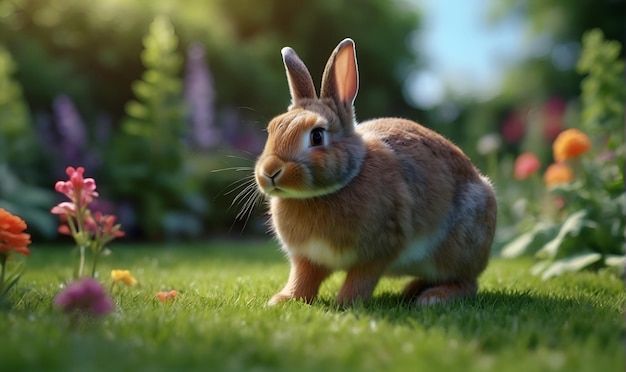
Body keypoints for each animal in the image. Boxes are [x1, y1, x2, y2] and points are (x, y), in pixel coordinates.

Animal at [251, 37, 494, 306]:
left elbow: (360, 279)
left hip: (455, 248)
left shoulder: (379, 250)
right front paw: (283, 300)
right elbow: (303, 277)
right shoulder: (308, 257)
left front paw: (345, 303)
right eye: (272, 129)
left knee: (467, 282)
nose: (270, 171)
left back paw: (433, 297)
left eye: (317, 136)